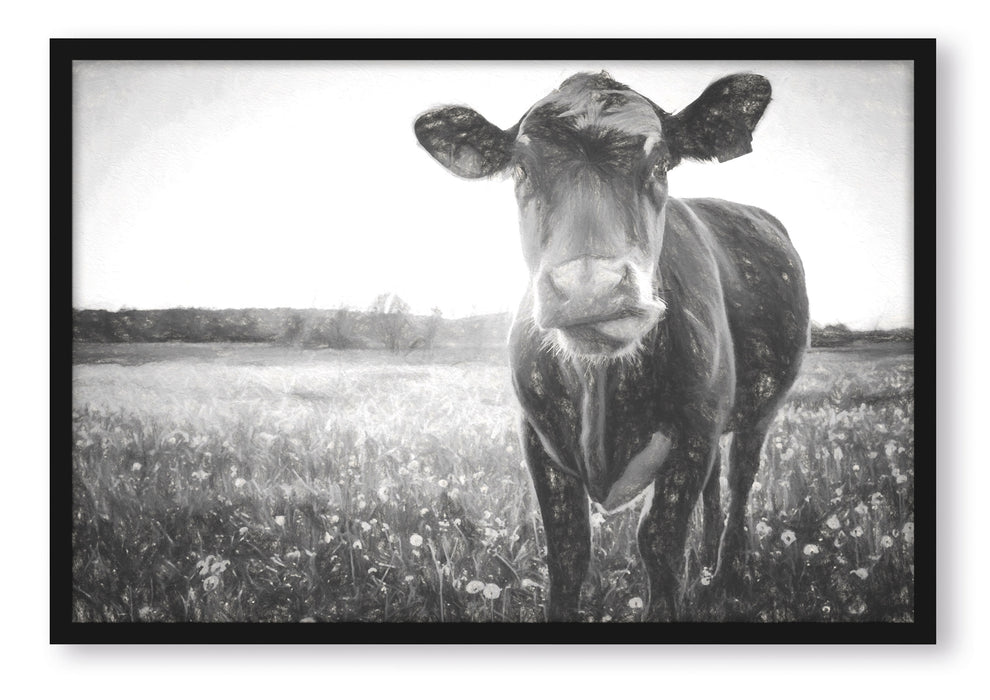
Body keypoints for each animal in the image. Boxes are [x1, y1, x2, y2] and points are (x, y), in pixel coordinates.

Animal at [414, 71, 809, 621]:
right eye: (522, 168)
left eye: (661, 163)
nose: (590, 287)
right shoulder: (537, 436)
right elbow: (567, 549)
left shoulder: (694, 430)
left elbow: (659, 542)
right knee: (715, 490)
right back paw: (706, 565)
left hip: (757, 412)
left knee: (739, 480)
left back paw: (728, 572)